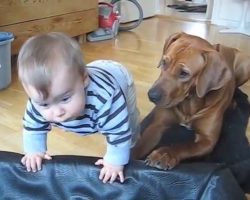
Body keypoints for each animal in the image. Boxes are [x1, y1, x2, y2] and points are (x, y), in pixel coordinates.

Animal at [132, 32, 250, 170]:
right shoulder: (157, 125)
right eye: (164, 62)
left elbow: (184, 146)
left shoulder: (207, 140)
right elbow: (140, 145)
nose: (152, 95)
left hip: (245, 66)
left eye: (184, 73)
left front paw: (164, 154)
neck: (189, 101)